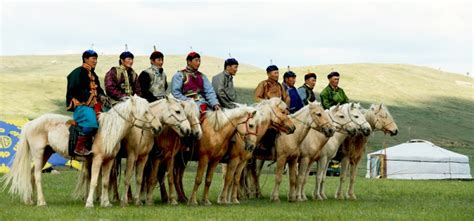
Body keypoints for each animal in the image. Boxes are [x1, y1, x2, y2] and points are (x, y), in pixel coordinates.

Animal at [0, 95, 161, 207]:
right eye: (145, 112)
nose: (158, 127)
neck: (108, 130)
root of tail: (31, 123)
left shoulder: (109, 161)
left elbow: (105, 182)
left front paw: (106, 203)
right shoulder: (97, 159)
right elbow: (94, 181)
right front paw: (89, 203)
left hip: (46, 153)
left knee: (32, 174)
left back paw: (30, 200)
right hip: (38, 153)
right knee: (38, 175)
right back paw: (42, 202)